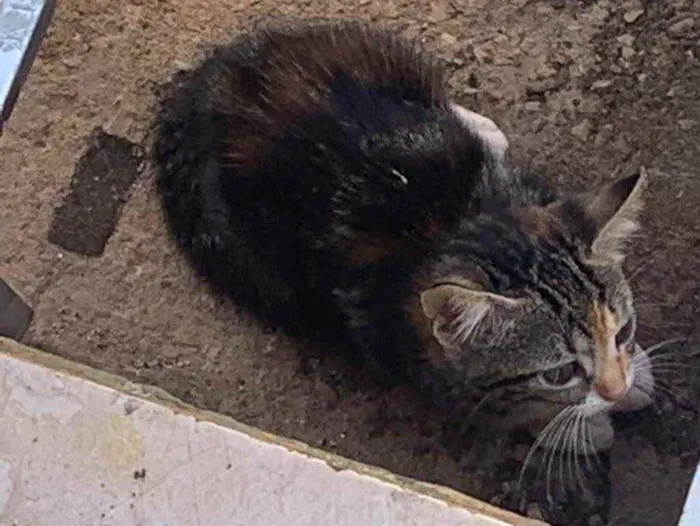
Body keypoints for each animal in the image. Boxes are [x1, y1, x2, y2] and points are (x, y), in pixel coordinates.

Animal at [150, 18, 652, 452]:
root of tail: (214, 79)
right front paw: (572, 424)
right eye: (560, 372)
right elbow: (499, 407)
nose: (615, 386)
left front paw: (637, 376)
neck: (457, 223)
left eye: (624, 331)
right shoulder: (397, 350)